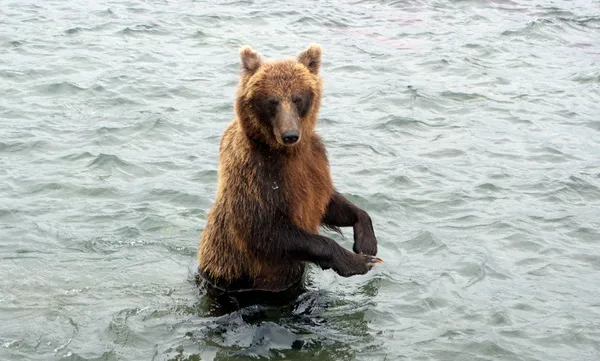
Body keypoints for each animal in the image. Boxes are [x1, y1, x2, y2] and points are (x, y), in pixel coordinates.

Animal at [199, 43, 382, 296]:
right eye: (272, 101)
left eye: (297, 98)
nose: (290, 135)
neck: (285, 153)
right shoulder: (254, 173)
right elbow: (266, 229)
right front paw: (357, 262)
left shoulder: (314, 164)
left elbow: (329, 202)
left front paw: (367, 243)